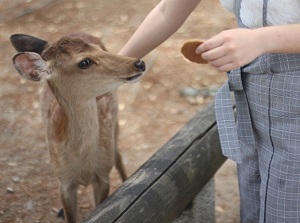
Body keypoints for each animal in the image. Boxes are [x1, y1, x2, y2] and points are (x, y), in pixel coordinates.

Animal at [10, 33, 146, 223]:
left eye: (99, 49)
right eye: (84, 62)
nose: (139, 63)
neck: (83, 162)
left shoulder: (103, 175)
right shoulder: (64, 180)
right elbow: (70, 216)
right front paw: (62, 211)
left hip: (116, 124)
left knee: (118, 155)